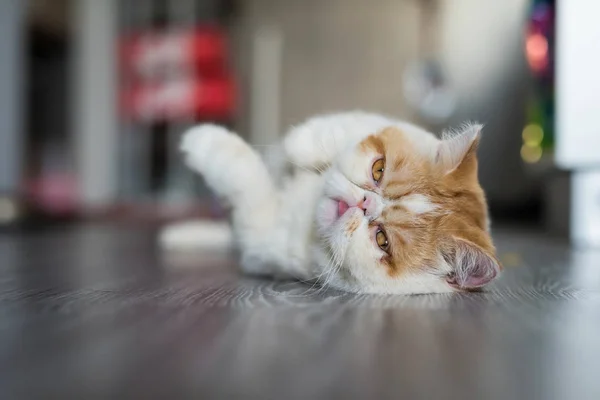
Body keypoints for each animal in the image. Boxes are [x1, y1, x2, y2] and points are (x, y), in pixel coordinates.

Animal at [161, 110, 502, 294]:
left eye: (382, 239)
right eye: (378, 169)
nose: (363, 203)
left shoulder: (261, 232)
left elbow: (245, 175)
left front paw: (202, 140)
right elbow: (330, 129)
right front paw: (305, 148)